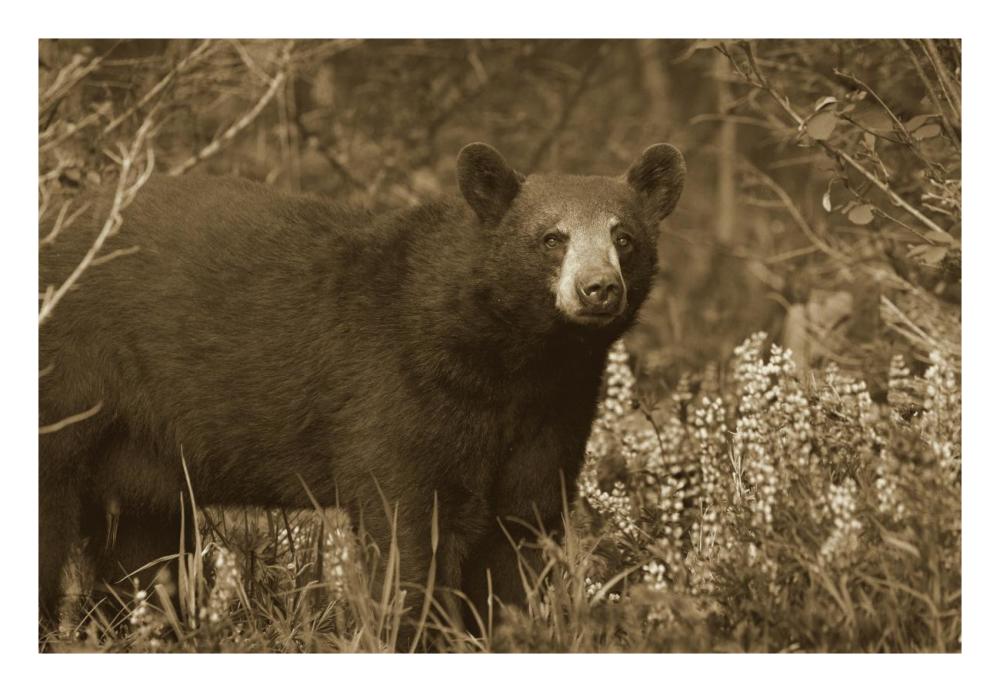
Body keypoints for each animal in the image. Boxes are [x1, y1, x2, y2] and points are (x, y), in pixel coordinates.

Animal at [38, 141, 686, 644]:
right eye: (552, 237)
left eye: (624, 237)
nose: (598, 288)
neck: (512, 359)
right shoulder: (400, 389)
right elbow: (407, 528)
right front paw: (413, 634)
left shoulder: (552, 412)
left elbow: (522, 527)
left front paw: (509, 631)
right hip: (69, 382)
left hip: (138, 451)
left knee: (145, 546)